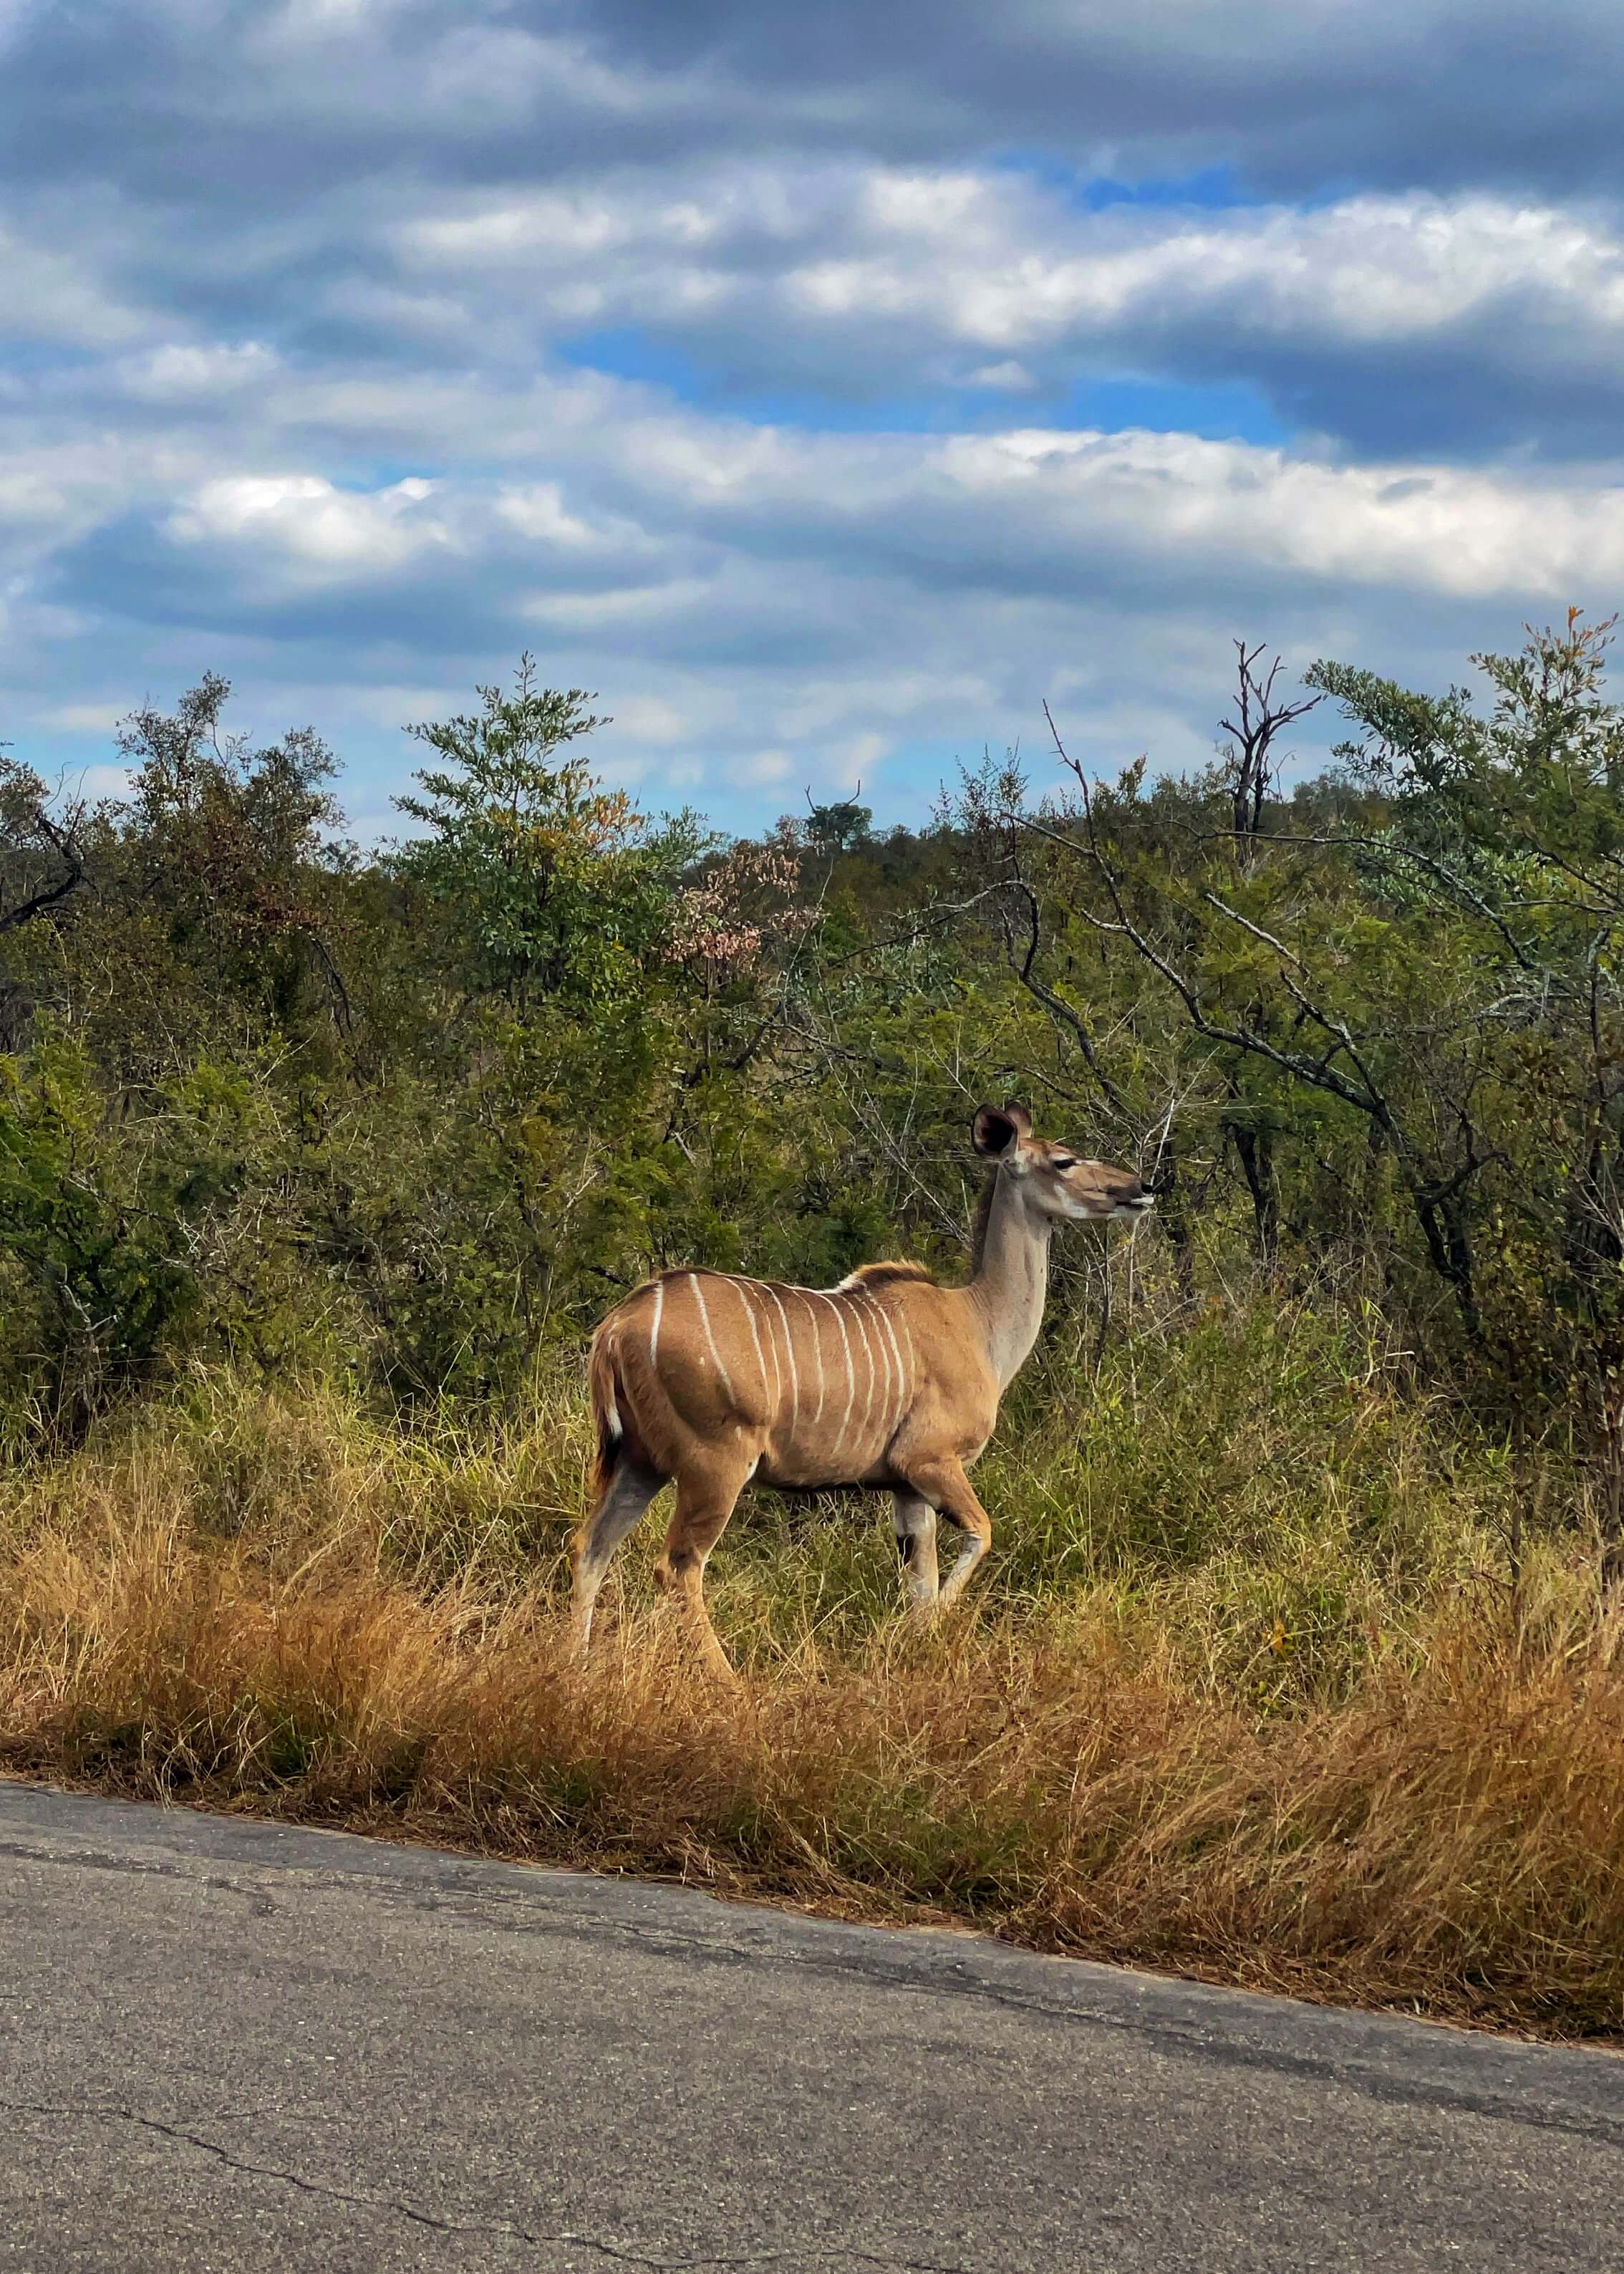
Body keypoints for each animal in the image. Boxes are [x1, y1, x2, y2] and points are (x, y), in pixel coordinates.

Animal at [569, 1109, 1151, 1682]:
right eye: (1064, 1160)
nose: (1142, 1187)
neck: (977, 1321)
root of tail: (617, 1327)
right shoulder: (928, 1460)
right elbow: (978, 1537)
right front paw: (907, 1639)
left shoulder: (906, 1488)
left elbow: (920, 1579)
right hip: (714, 1466)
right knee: (678, 1564)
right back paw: (729, 1683)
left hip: (641, 1461)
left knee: (592, 1544)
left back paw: (575, 1663)